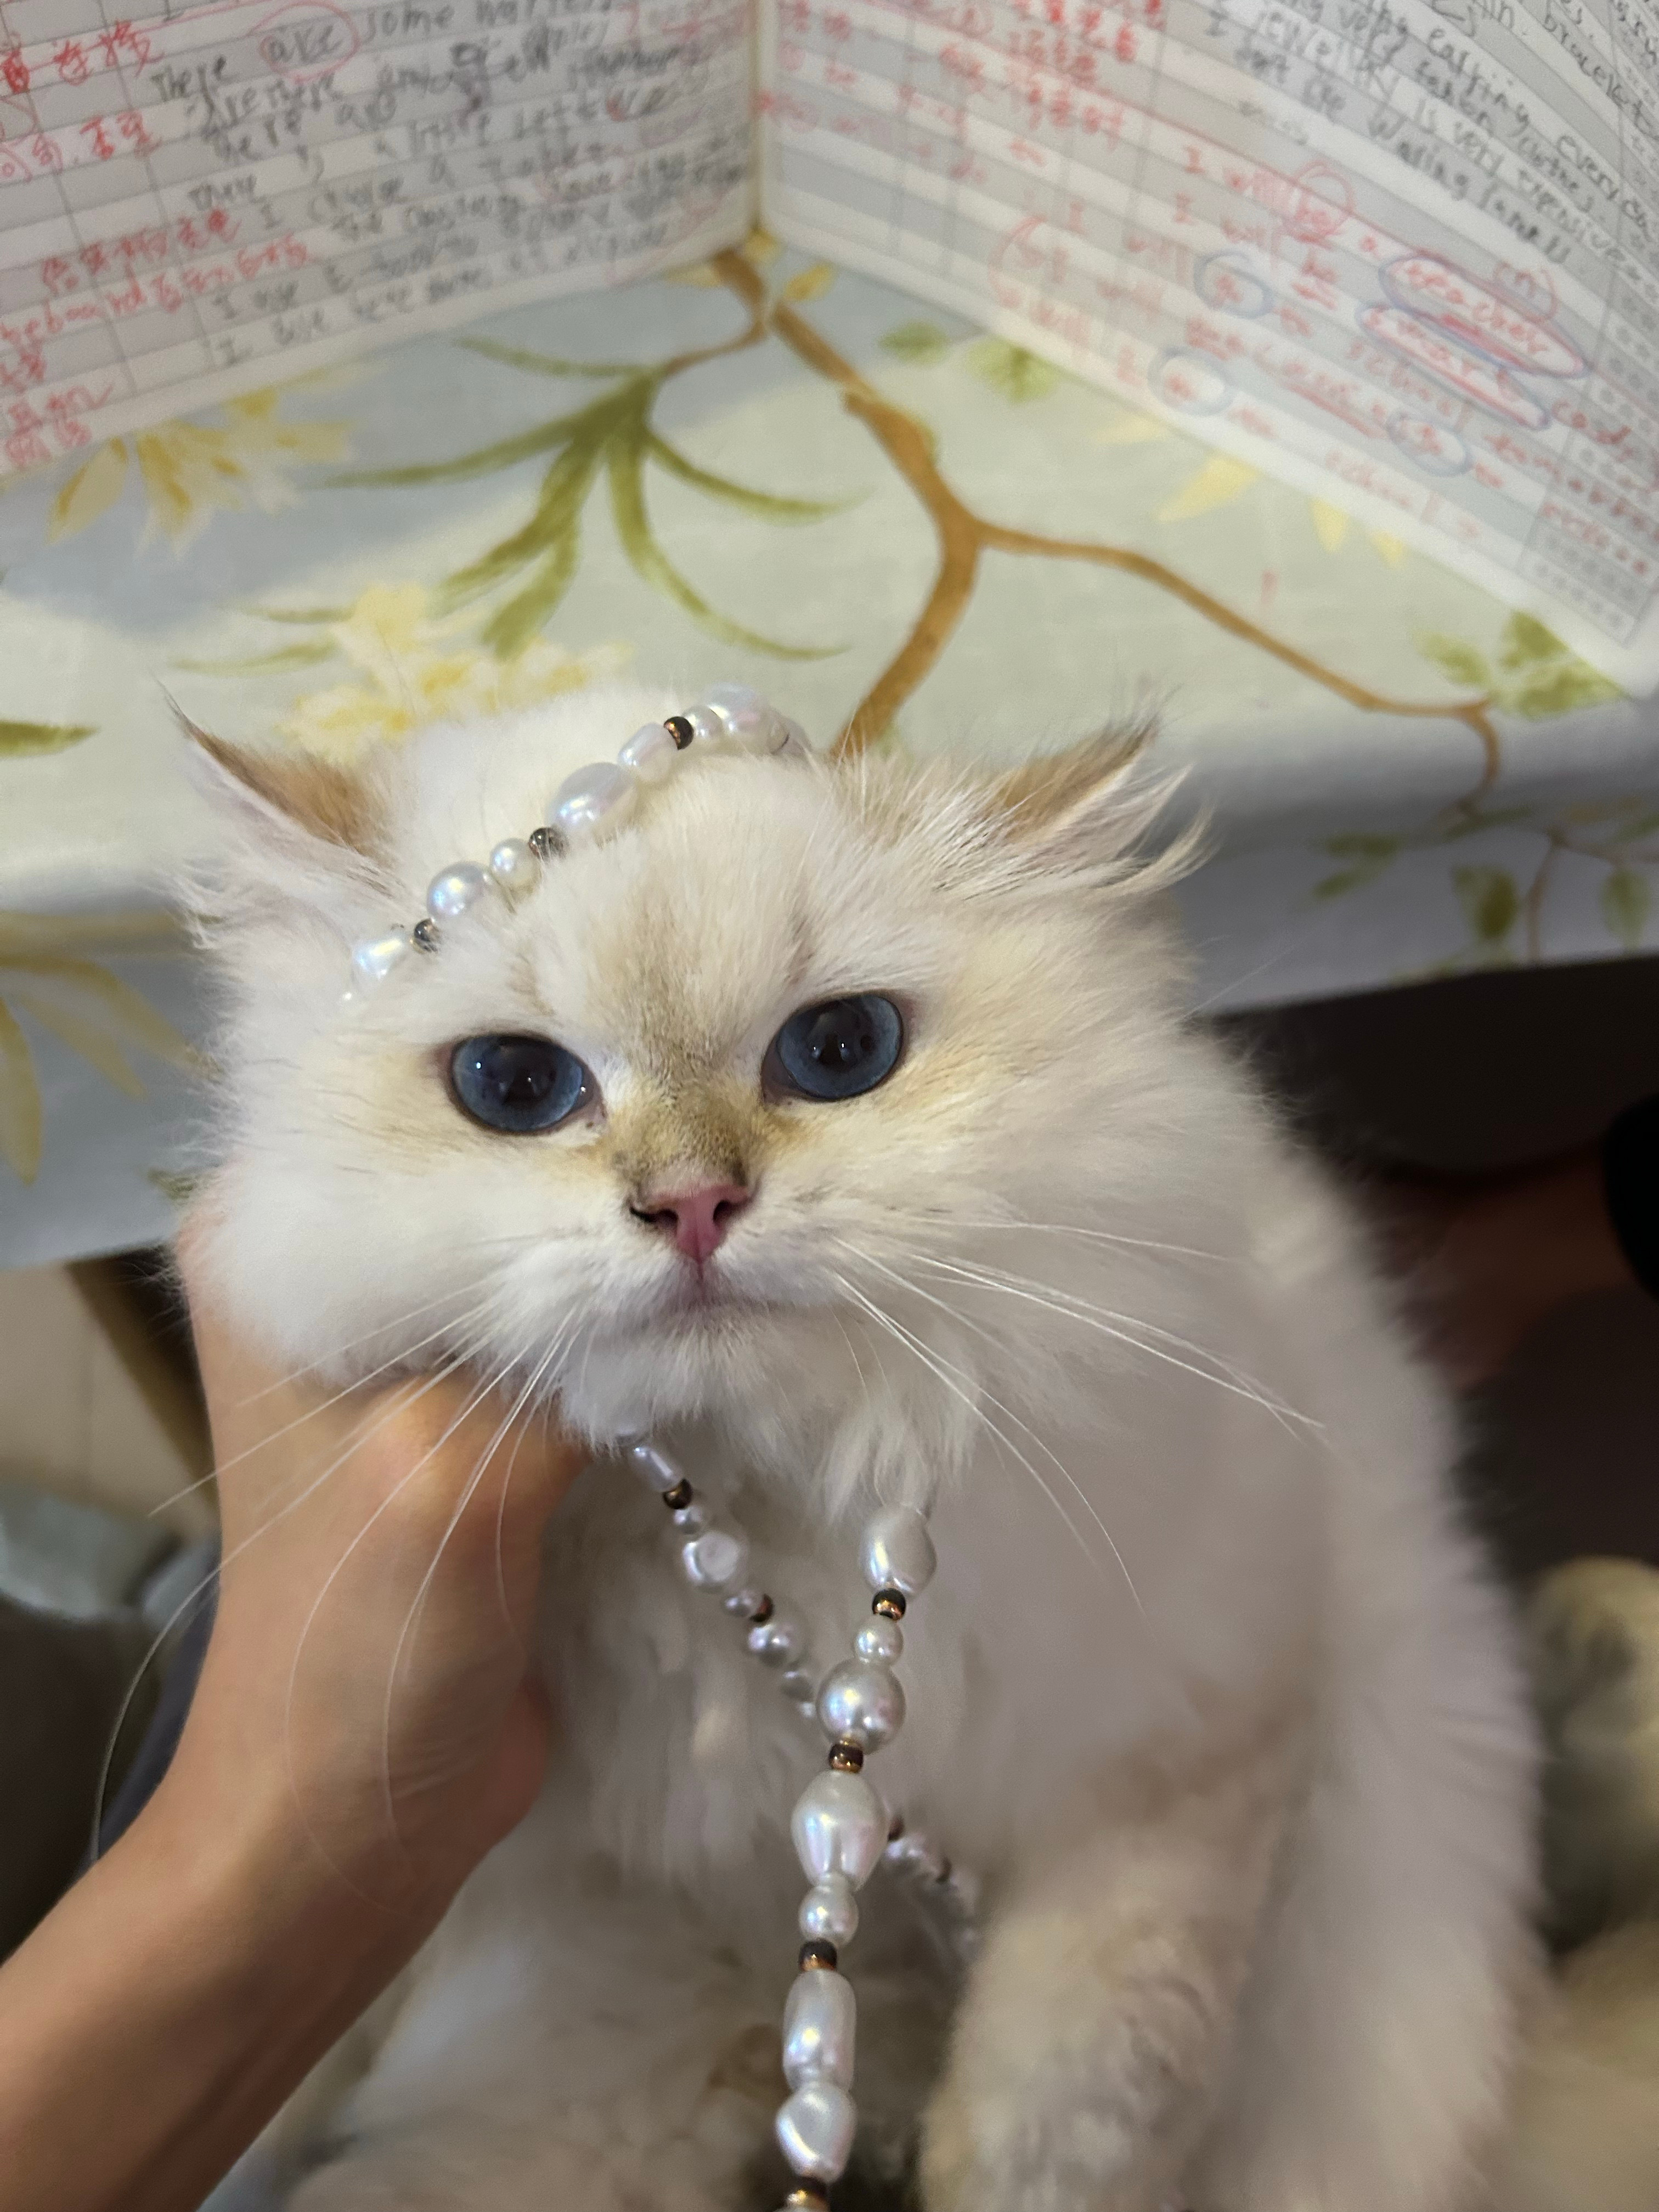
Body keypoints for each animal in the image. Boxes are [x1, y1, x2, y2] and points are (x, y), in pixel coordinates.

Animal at [189, 684, 1540, 2212]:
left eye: (841, 1054)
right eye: (515, 1084)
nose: (694, 1206)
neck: (776, 1507)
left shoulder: (1195, 1744)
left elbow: (1072, 2094)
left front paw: (986, 2171)